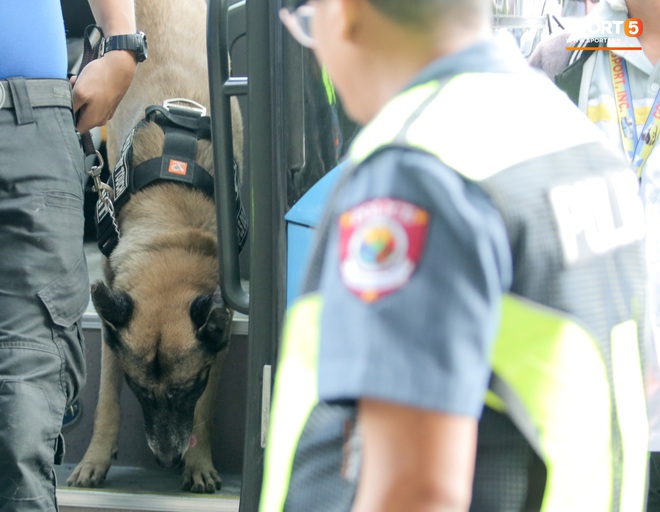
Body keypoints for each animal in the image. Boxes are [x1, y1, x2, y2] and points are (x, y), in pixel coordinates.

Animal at [66, 0, 242, 494]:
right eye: (140, 390)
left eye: (188, 389)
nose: (166, 459)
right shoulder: (114, 328)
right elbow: (106, 402)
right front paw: (96, 458)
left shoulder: (219, 334)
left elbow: (205, 411)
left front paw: (198, 463)